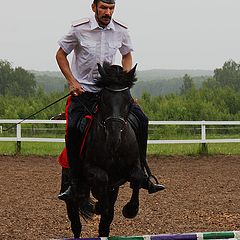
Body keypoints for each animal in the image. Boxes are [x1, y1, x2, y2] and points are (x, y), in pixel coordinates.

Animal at [62, 63, 145, 238]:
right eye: (104, 100)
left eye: (128, 100)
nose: (114, 137)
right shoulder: (91, 169)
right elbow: (102, 178)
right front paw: (100, 205)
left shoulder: (131, 167)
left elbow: (137, 176)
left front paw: (131, 209)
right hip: (71, 198)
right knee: (76, 224)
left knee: (104, 226)